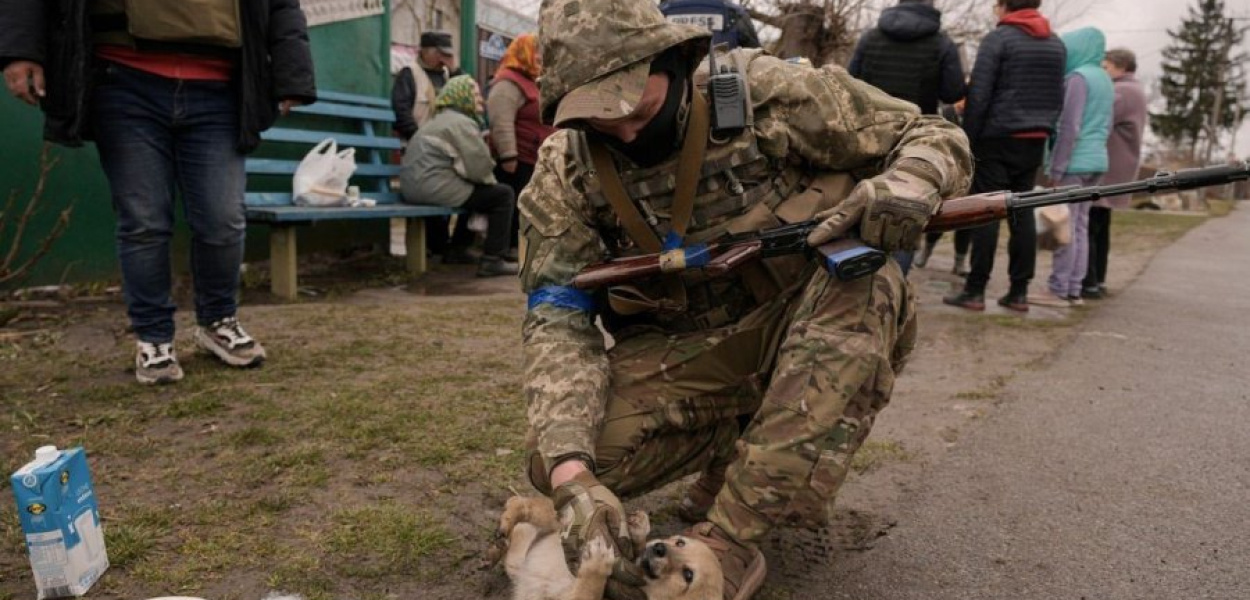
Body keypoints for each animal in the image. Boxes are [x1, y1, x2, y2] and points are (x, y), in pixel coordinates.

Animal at [497, 497, 725, 600]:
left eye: (688, 575)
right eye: (680, 542)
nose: (659, 548)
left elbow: (589, 589)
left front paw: (597, 564)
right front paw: (639, 528)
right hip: (565, 526)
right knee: (535, 509)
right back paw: (512, 514)